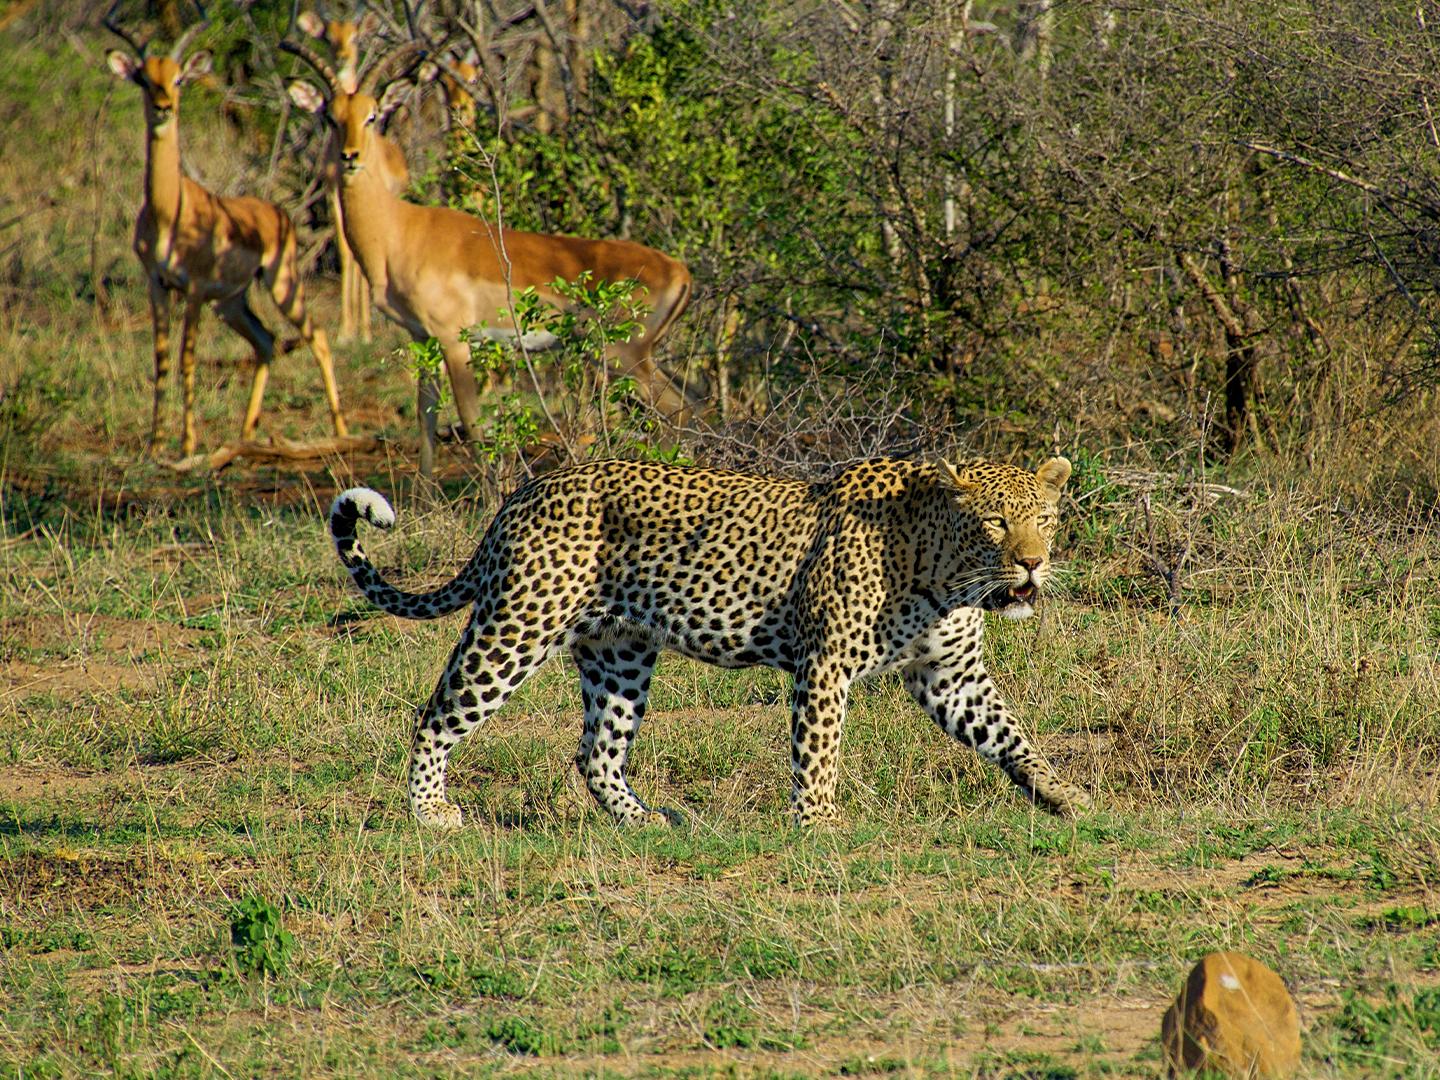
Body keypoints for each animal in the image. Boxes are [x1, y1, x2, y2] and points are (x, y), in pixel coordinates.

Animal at [329, 455, 1088, 829]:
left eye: (1046, 518)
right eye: (995, 522)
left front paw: (1063, 796)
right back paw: (431, 813)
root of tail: (525, 492)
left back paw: (644, 823)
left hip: (620, 650)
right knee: (436, 716)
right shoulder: (825, 664)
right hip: (518, 626)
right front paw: (820, 826)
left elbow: (1011, 734)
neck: (948, 573)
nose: (1031, 563)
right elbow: (819, 753)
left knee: (596, 752)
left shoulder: (951, 674)